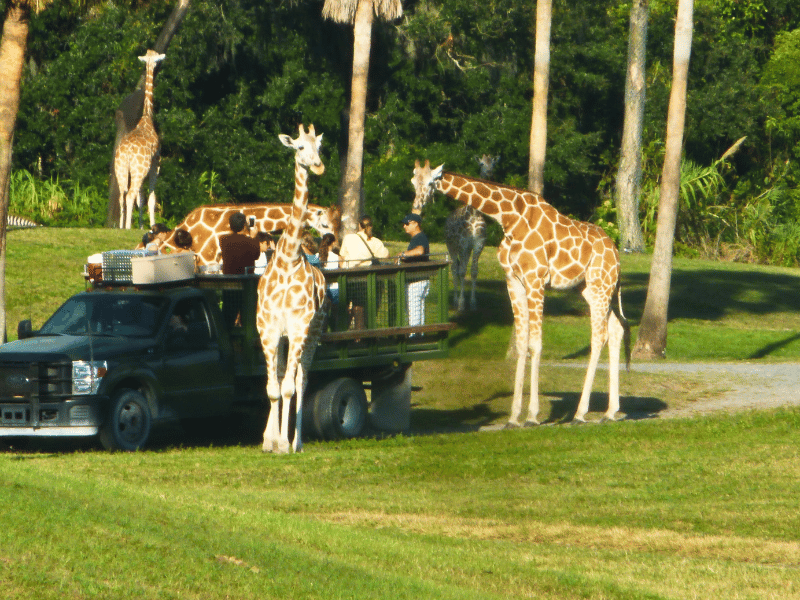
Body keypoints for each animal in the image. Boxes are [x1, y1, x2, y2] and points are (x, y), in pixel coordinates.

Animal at [114, 49, 164, 230]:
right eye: (156, 59)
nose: (159, 62)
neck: (147, 116)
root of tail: (127, 153)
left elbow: (141, 199)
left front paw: (142, 226)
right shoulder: (155, 164)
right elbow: (151, 198)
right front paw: (152, 226)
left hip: (121, 169)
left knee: (122, 195)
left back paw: (121, 227)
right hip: (139, 169)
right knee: (130, 194)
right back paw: (128, 227)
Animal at [411, 160, 630, 425]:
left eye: (431, 181)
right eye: (413, 181)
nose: (417, 207)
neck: (509, 217)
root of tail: (616, 252)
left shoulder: (535, 279)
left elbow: (535, 344)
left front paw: (532, 416)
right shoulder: (513, 280)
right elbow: (521, 342)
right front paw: (514, 417)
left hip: (601, 285)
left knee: (599, 336)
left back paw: (580, 413)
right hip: (592, 288)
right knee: (616, 329)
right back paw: (610, 411)